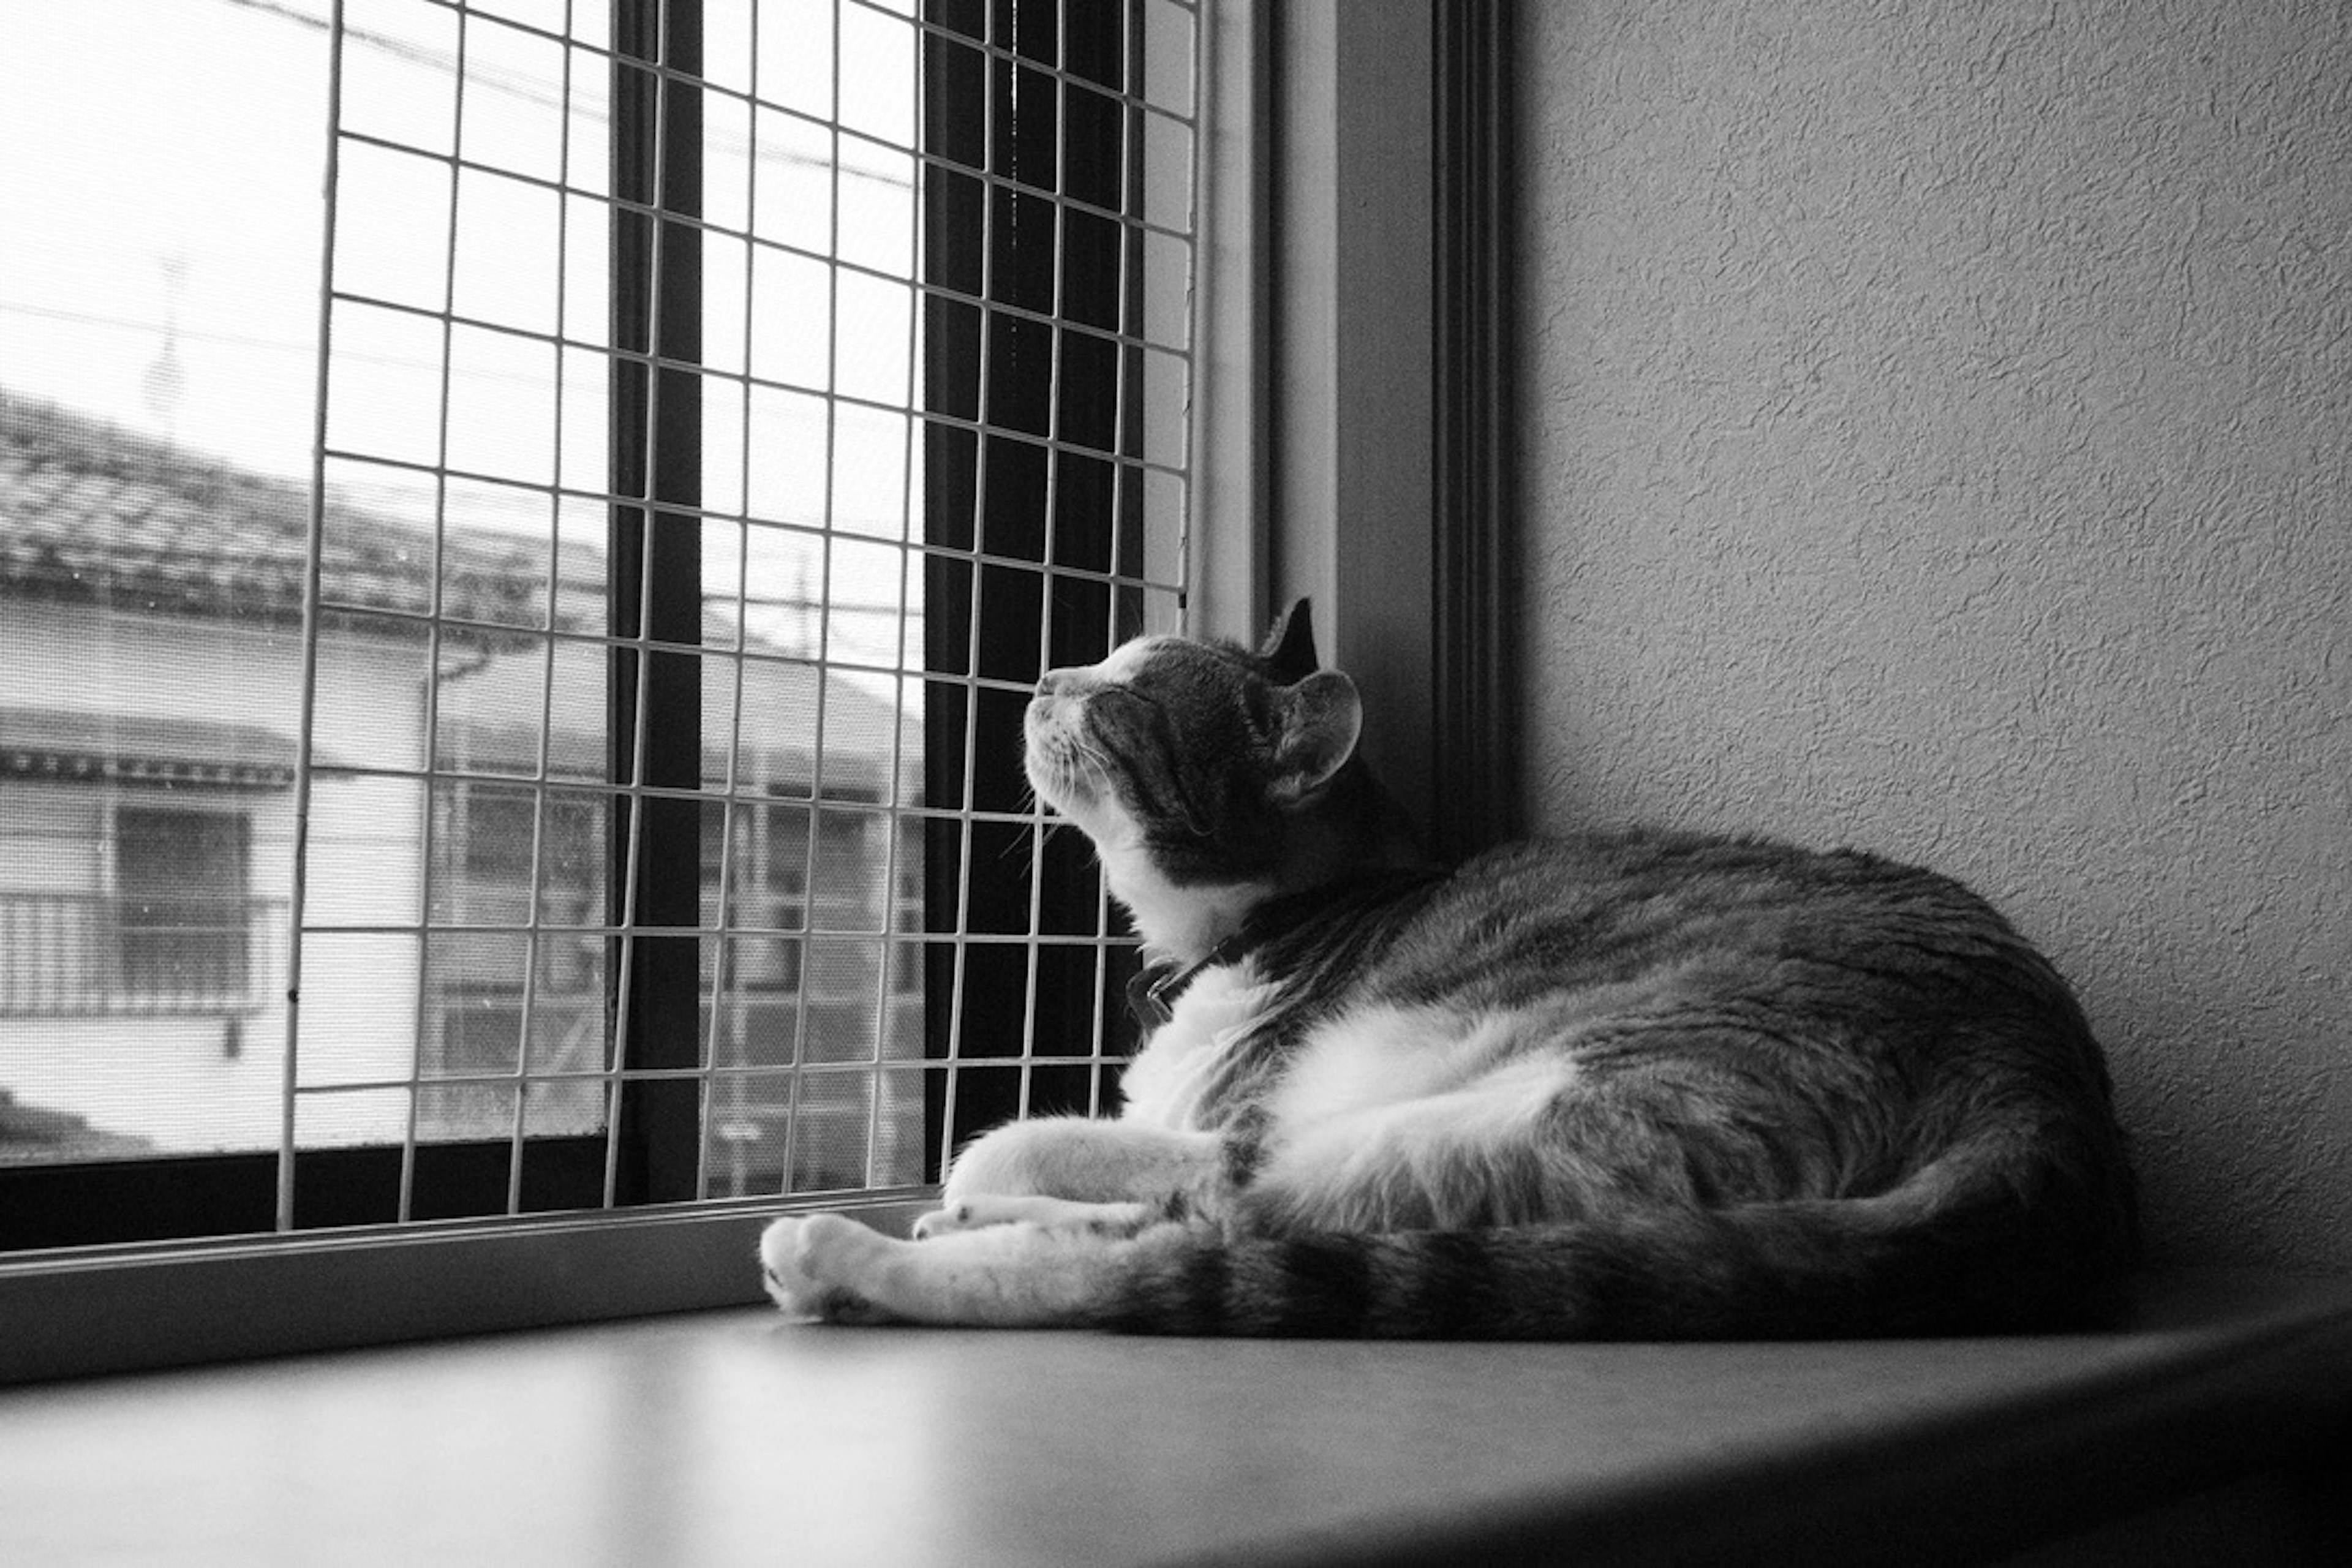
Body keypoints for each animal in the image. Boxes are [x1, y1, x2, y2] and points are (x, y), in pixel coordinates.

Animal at [762, 606, 2145, 1344]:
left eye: (1124, 697)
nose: (1050, 671)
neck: (1262, 925)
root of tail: (2049, 1087)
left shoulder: (1239, 1112)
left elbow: (1025, 1144)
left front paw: (963, 1194)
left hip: (1550, 1099)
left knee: (1212, 1238)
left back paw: (847, 1254)